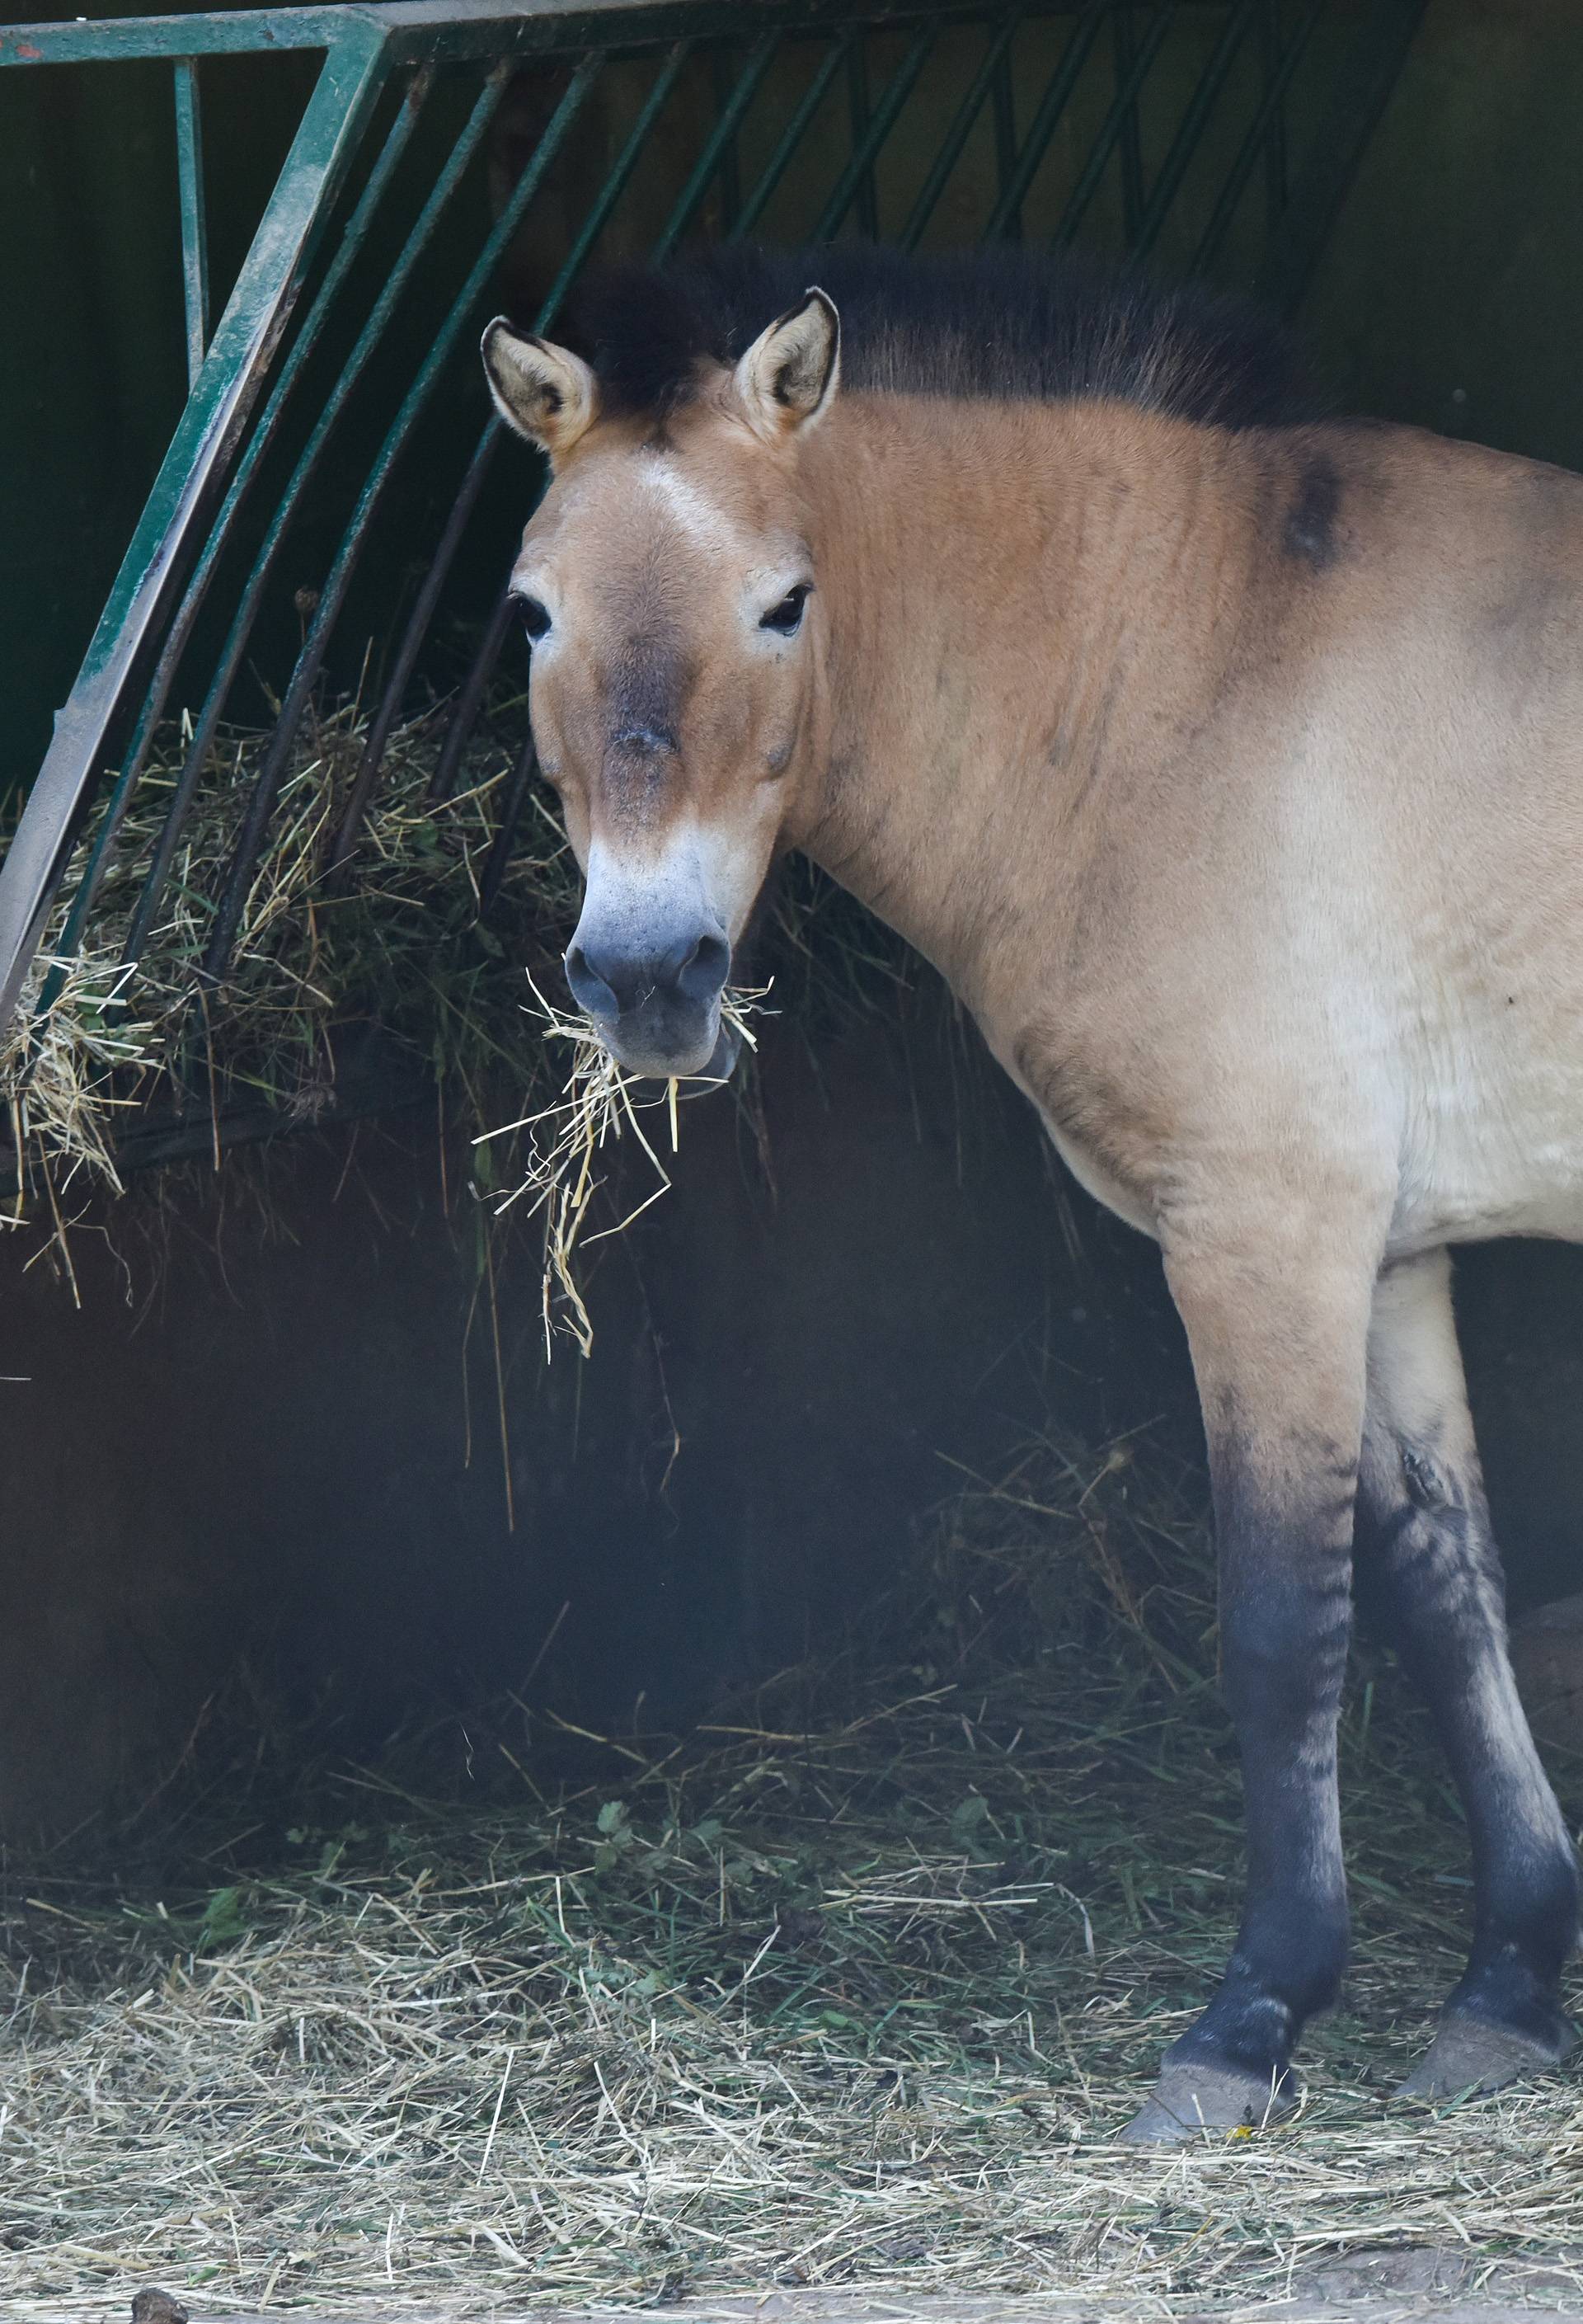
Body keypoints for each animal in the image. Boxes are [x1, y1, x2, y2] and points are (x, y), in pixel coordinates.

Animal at [481, 245, 1581, 2129]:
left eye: (785, 604)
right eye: (538, 611)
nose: (646, 977)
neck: (1196, 673)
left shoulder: (1264, 1239)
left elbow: (1284, 1625)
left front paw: (1251, 2017)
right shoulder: (1386, 1252)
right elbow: (1449, 1593)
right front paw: (1509, 1981)